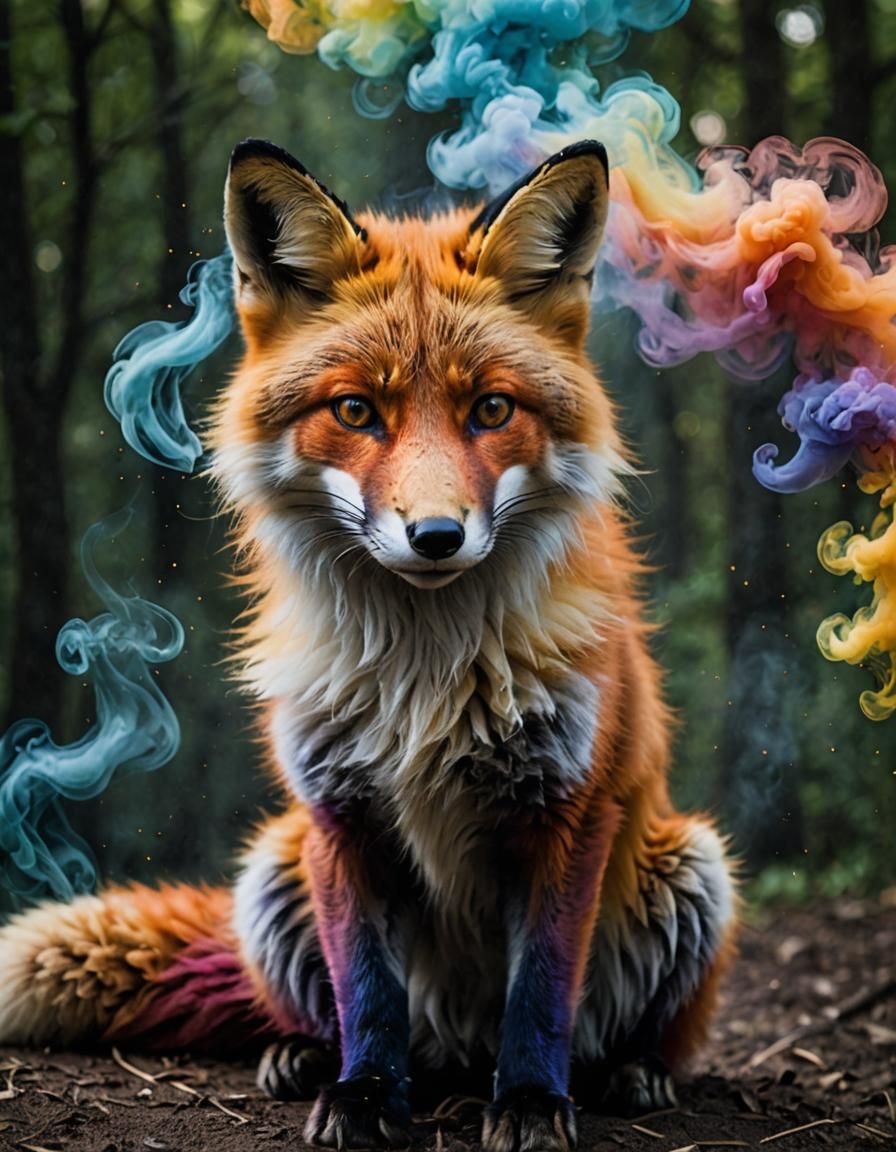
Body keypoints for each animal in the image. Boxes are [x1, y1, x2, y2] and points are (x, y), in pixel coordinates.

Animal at [0, 138, 735, 1151]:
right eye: (355, 413)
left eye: (491, 410)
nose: (436, 536)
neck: (425, 679)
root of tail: (457, 1049)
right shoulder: (339, 814)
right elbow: (368, 990)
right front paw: (364, 1097)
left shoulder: (567, 808)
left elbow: (542, 992)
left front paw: (530, 1103)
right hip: (275, 866)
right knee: (341, 1015)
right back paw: (307, 1057)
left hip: (691, 863)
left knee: (621, 1032)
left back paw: (629, 1074)